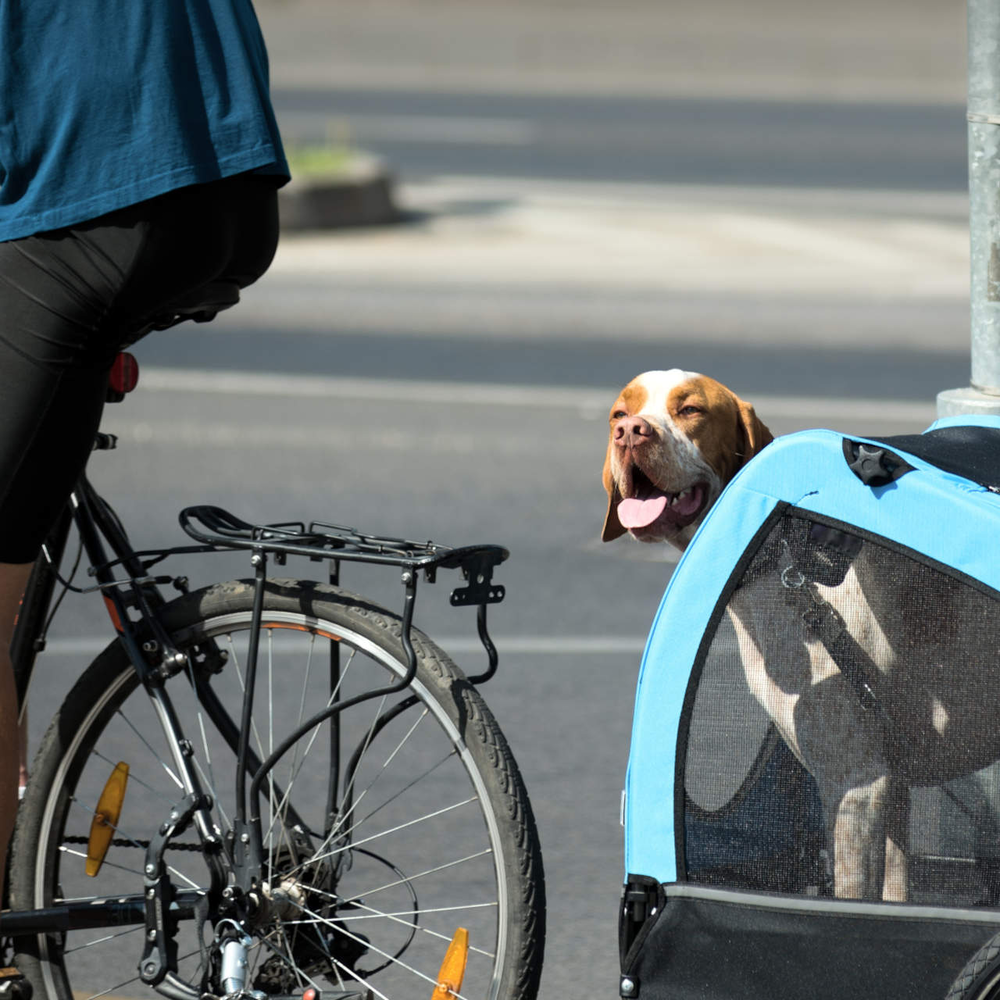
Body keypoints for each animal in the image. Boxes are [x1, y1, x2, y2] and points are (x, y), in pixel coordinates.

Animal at [604, 372, 1000, 904]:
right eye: (619, 414)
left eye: (690, 409)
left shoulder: (855, 787)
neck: (791, 577)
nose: (631, 433)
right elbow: (896, 890)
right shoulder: (890, 786)